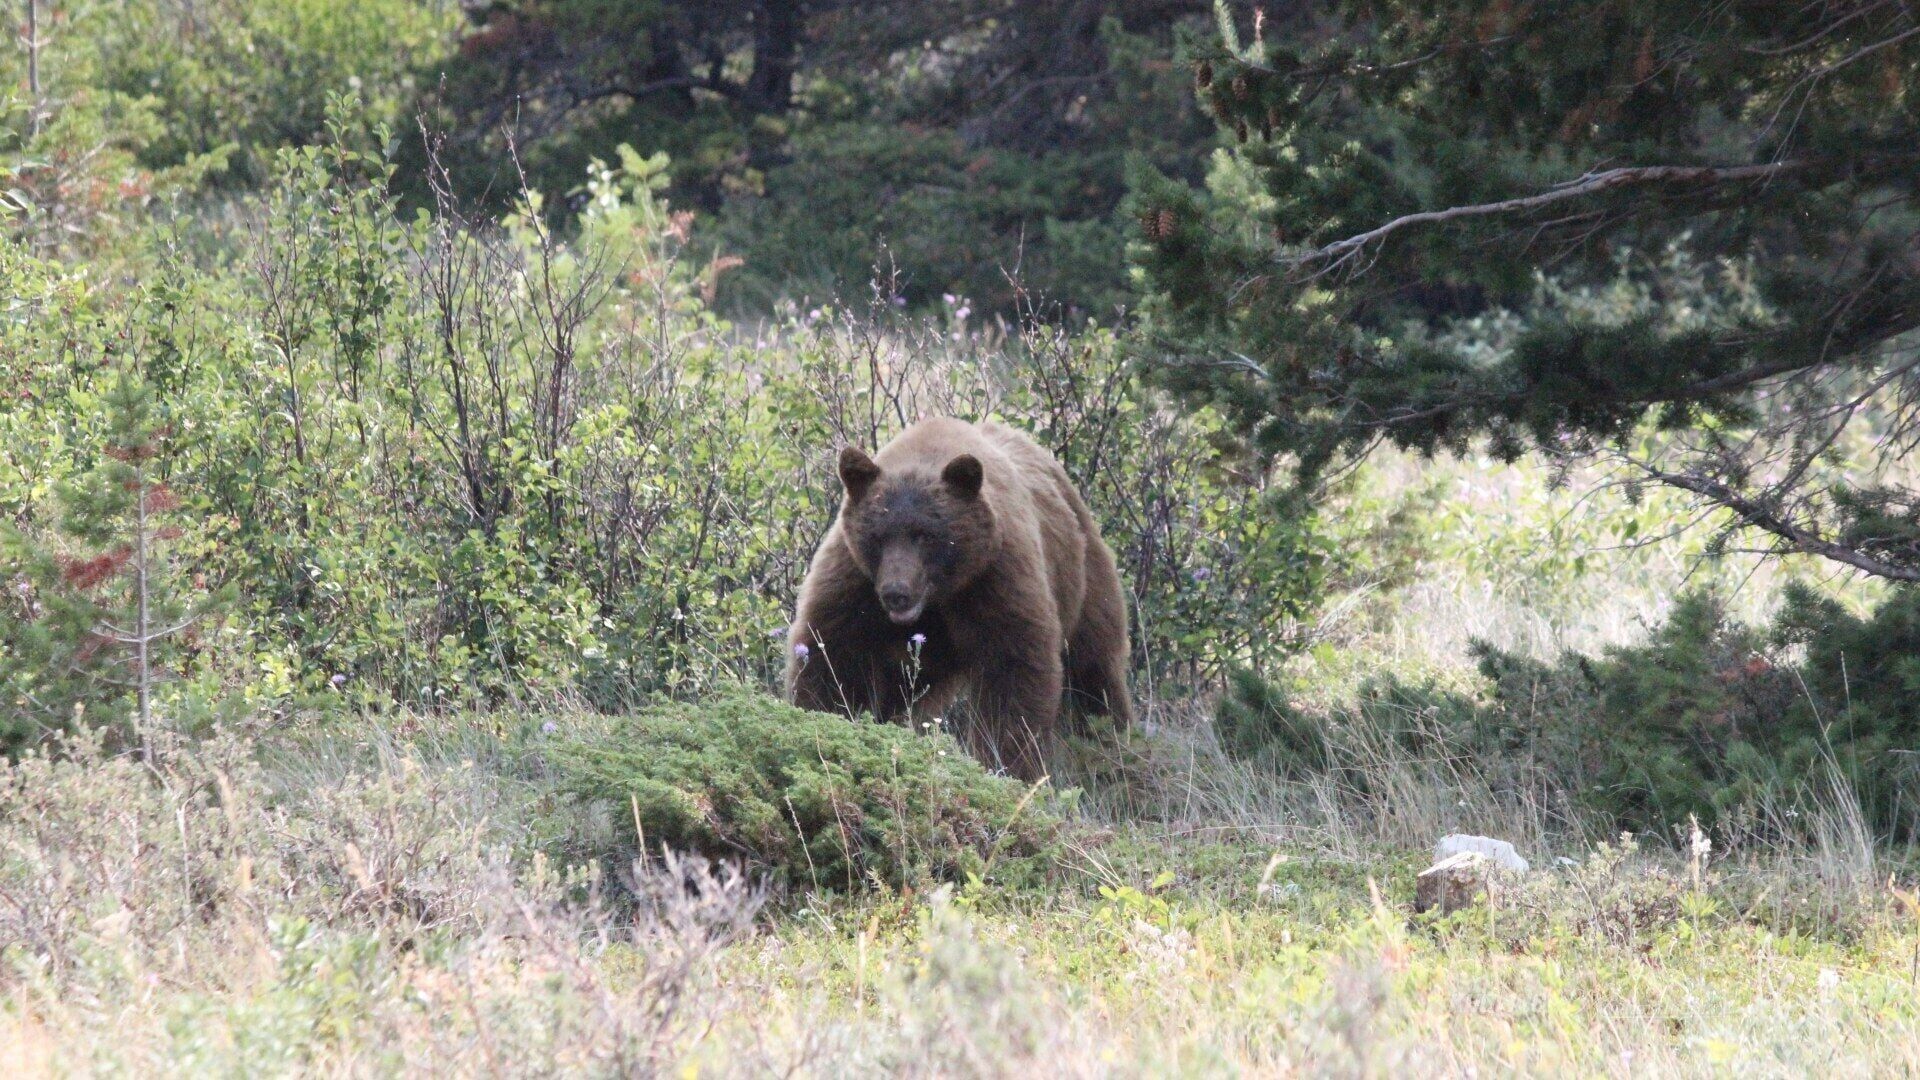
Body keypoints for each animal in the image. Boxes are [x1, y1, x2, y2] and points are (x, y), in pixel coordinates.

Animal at [785, 416, 1132, 780]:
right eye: (877, 535)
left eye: (926, 535)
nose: (896, 594)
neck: (939, 596)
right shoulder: (856, 581)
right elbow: (833, 655)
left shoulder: (995, 576)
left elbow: (1013, 670)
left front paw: (1006, 764)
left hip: (1084, 578)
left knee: (1092, 669)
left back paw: (1109, 743)